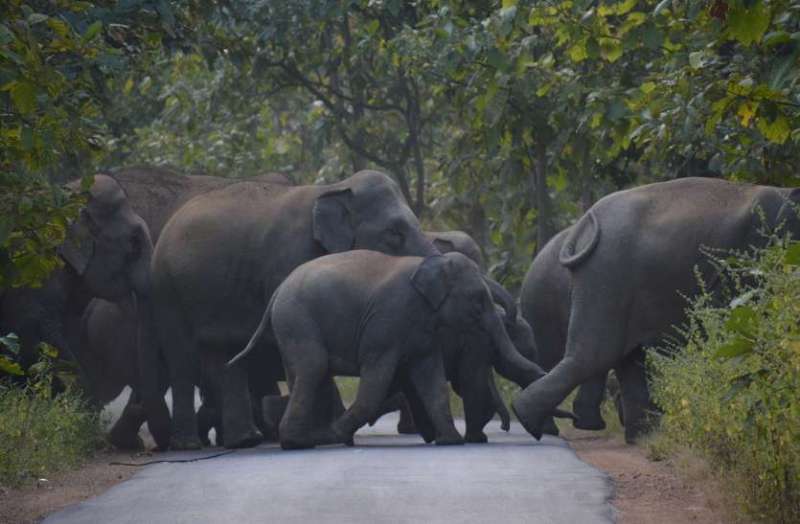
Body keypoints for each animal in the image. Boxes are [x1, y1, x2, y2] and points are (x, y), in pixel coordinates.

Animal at [151, 170, 442, 450]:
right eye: (394, 232)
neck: (335, 188)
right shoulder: (291, 257)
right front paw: (322, 436)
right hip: (167, 290)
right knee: (182, 358)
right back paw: (189, 445)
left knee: (224, 356)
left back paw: (245, 440)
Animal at [228, 250, 553, 449]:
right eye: (477, 300)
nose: (512, 427)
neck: (428, 263)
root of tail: (277, 293)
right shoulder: (386, 322)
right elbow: (377, 378)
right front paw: (336, 434)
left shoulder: (424, 332)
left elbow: (432, 380)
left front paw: (450, 441)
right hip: (298, 320)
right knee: (314, 366)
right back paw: (302, 442)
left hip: (291, 326)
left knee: (302, 373)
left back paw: (303, 439)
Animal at [512, 177, 800, 443]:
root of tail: (584, 223)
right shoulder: (751, 252)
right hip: (606, 275)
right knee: (594, 355)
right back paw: (534, 422)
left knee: (625, 359)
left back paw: (642, 438)